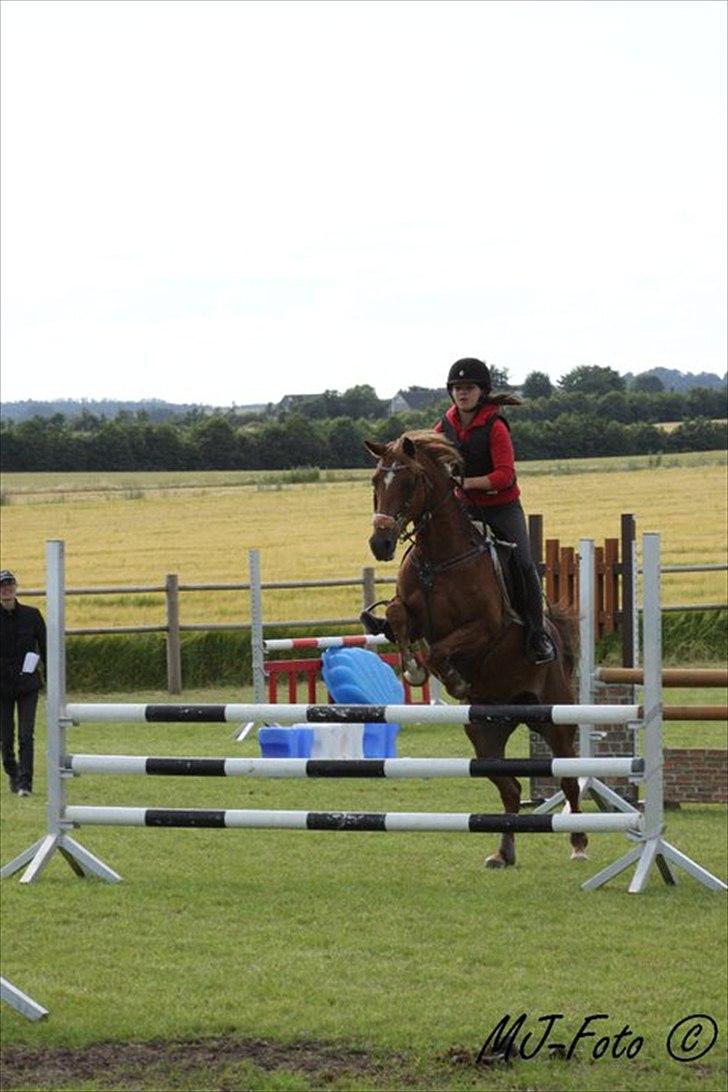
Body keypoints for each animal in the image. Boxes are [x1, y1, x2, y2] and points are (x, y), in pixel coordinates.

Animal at [364, 430, 585, 864]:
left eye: (409, 483)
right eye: (376, 481)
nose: (380, 543)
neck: (439, 558)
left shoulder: (486, 627)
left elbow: (438, 653)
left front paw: (449, 678)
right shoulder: (412, 611)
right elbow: (399, 617)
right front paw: (409, 658)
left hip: (553, 716)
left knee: (567, 777)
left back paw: (579, 844)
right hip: (483, 734)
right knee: (511, 788)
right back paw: (503, 853)